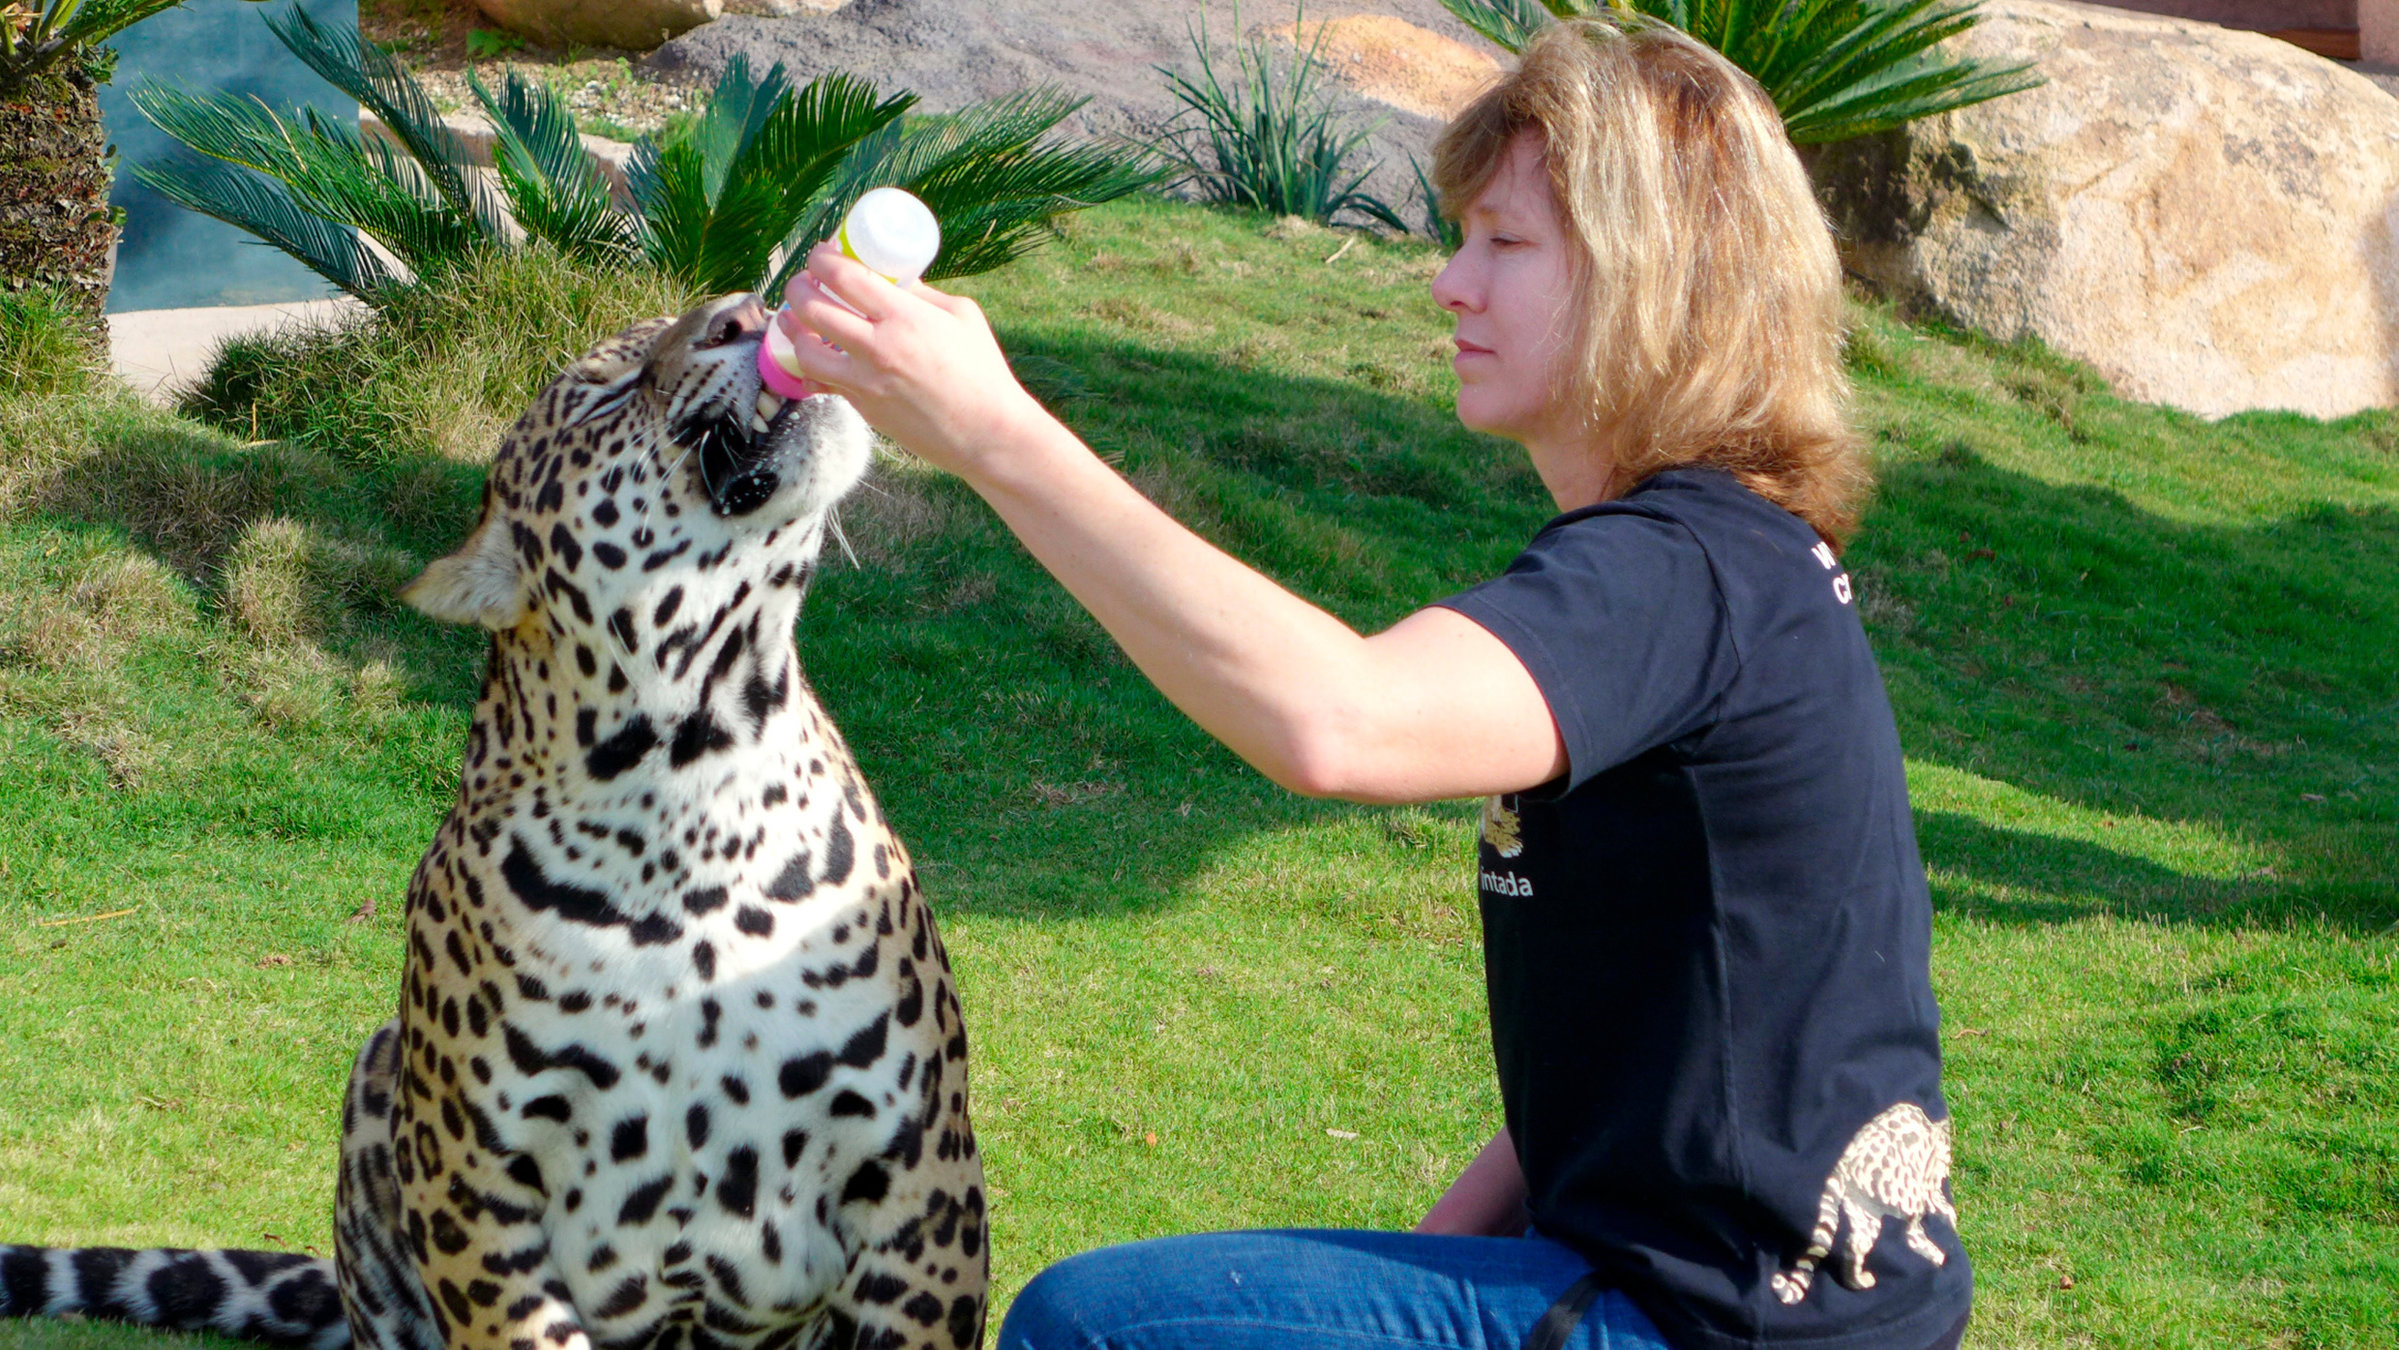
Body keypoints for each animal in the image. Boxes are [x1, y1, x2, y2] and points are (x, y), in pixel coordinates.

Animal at [0, 293, 987, 1350]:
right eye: (602, 392)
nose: (744, 309)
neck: (698, 778)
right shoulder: (474, 1187)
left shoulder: (924, 1181)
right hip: (377, 1081)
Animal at [1771, 1101, 1957, 1306]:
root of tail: (1844, 1161)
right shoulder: (1929, 1181)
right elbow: (1941, 1203)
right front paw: (1951, 1219)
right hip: (1905, 1191)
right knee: (1912, 1234)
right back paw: (1937, 1255)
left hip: (1866, 1212)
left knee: (1855, 1245)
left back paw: (1857, 1281)